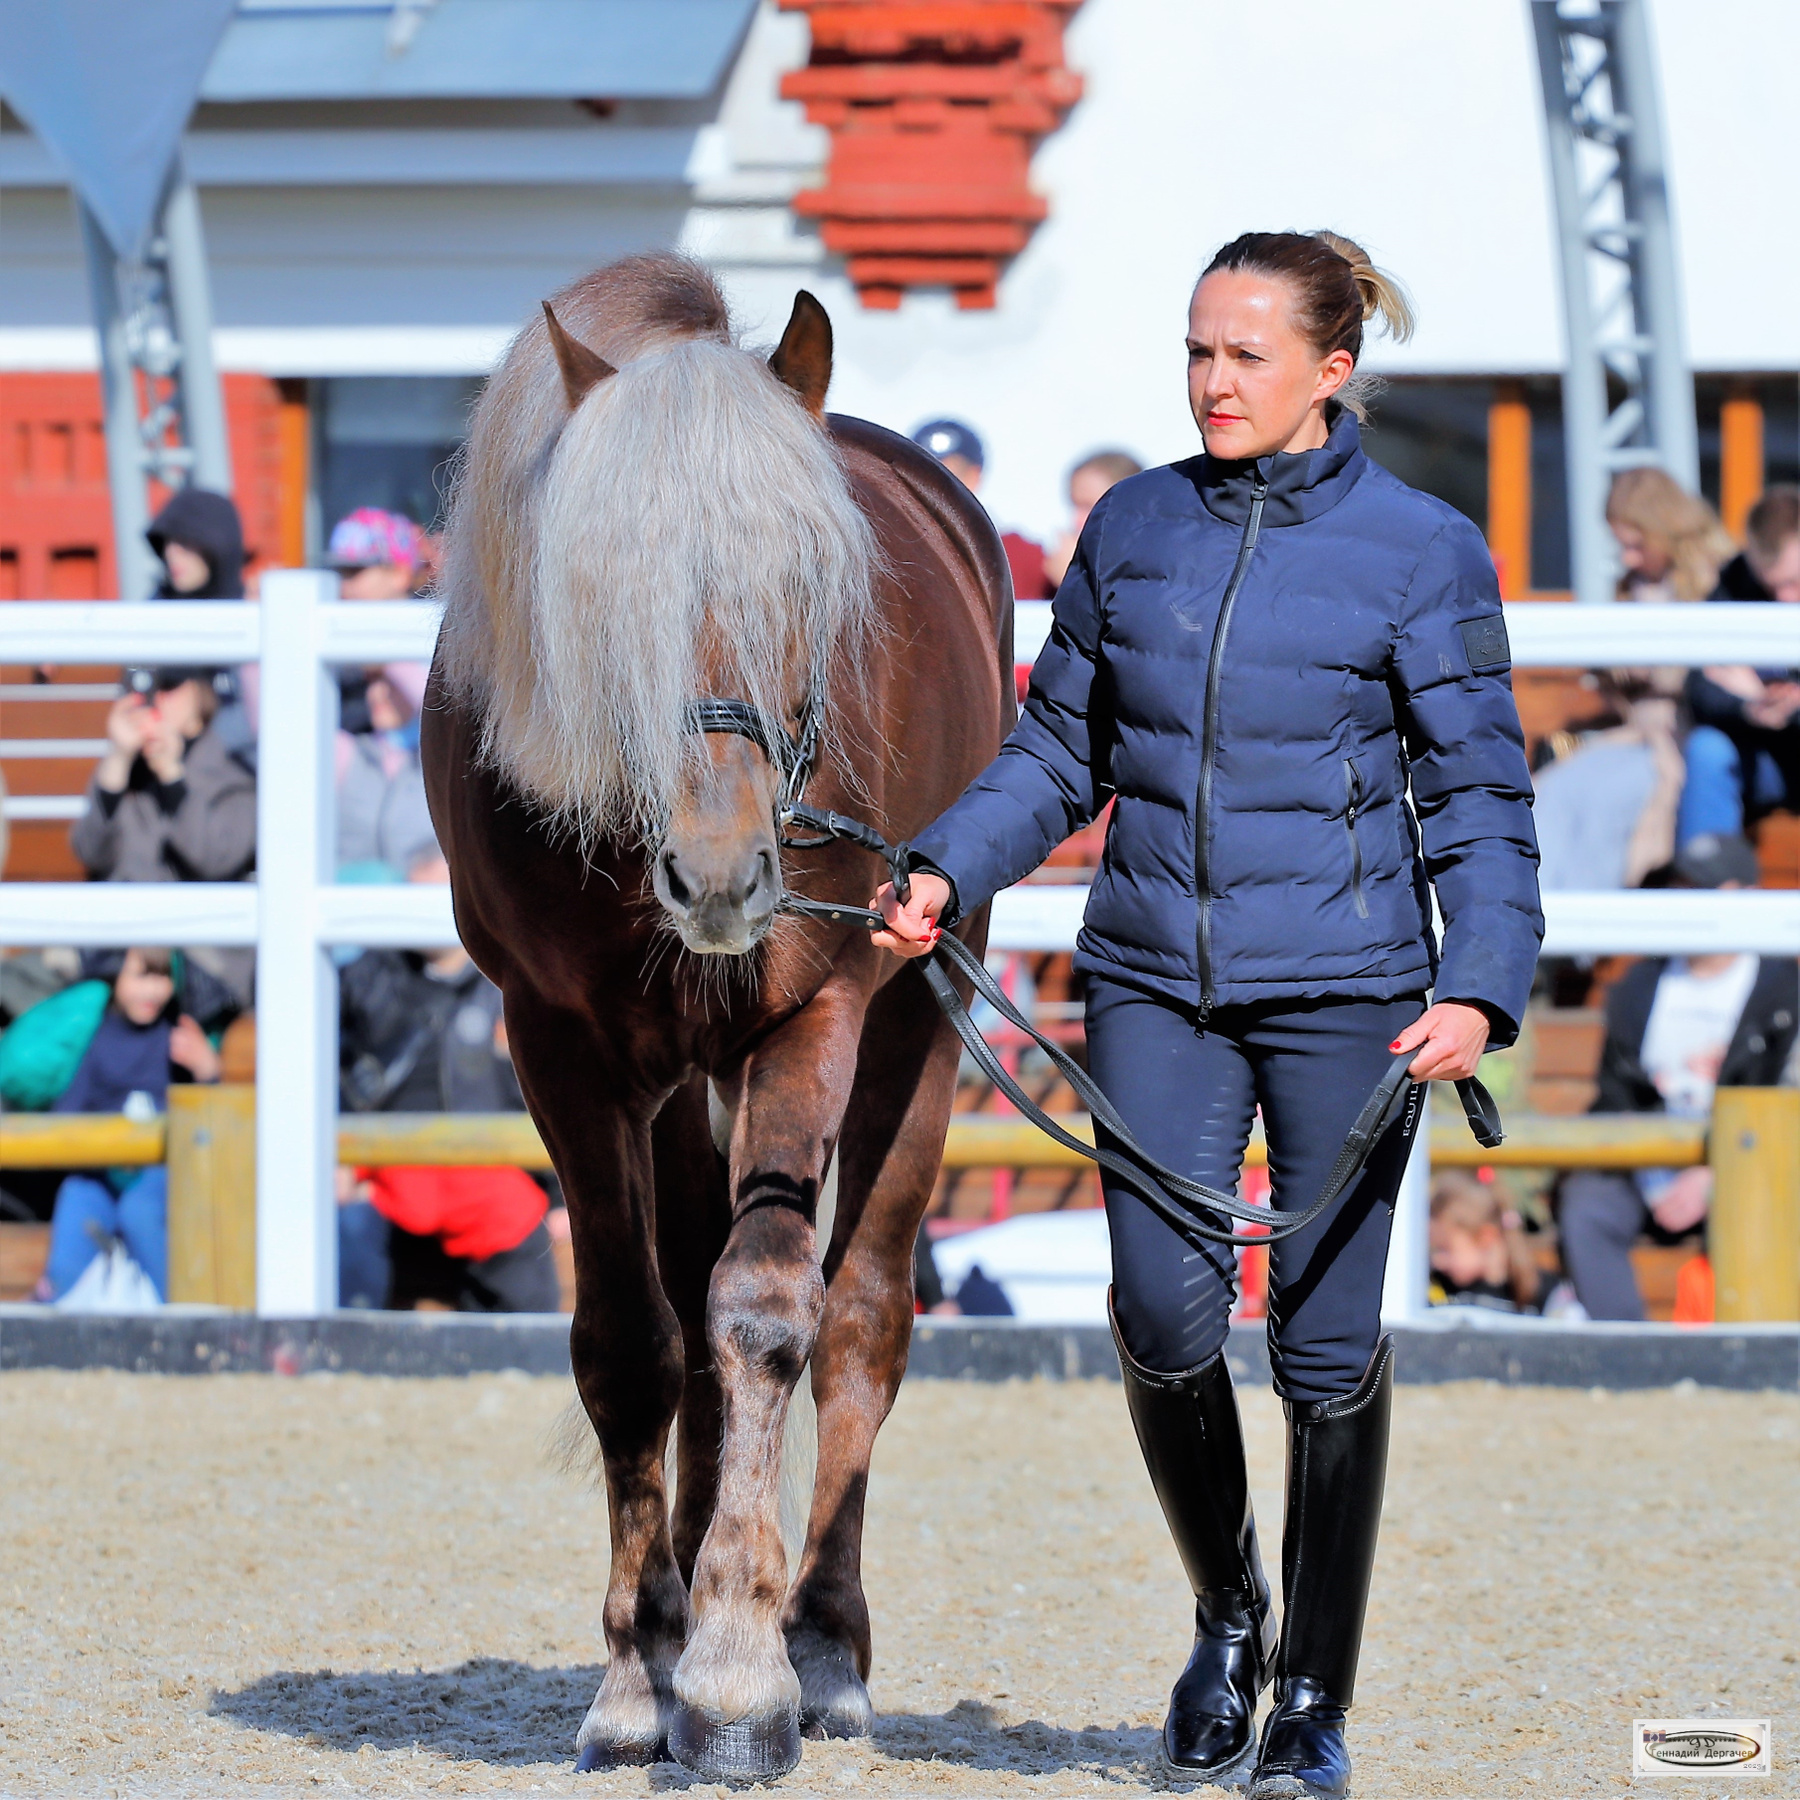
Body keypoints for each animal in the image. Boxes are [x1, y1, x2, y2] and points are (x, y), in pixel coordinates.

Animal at [422, 252, 1011, 1781]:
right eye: (603, 596)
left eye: (808, 588)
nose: (726, 874)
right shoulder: (559, 1045)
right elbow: (634, 1342)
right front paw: (644, 1670)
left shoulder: (812, 1021)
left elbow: (763, 1312)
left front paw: (745, 1672)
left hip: (923, 1014)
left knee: (861, 1317)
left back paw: (825, 1646)